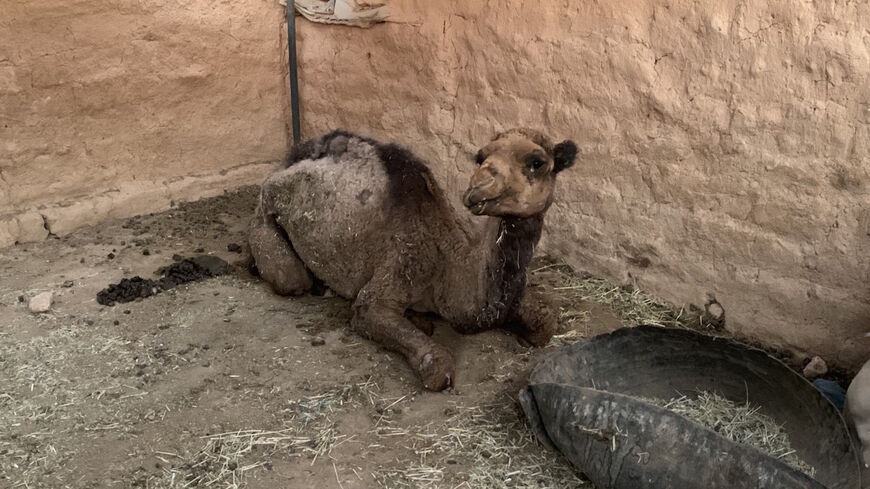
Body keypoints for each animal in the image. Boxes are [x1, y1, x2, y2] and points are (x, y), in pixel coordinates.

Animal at [249, 128, 577, 391]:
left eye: (537, 162)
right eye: (480, 157)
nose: (478, 188)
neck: (448, 265)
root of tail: (290, 159)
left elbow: (546, 320)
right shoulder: (397, 270)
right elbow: (438, 368)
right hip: (266, 210)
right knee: (291, 278)